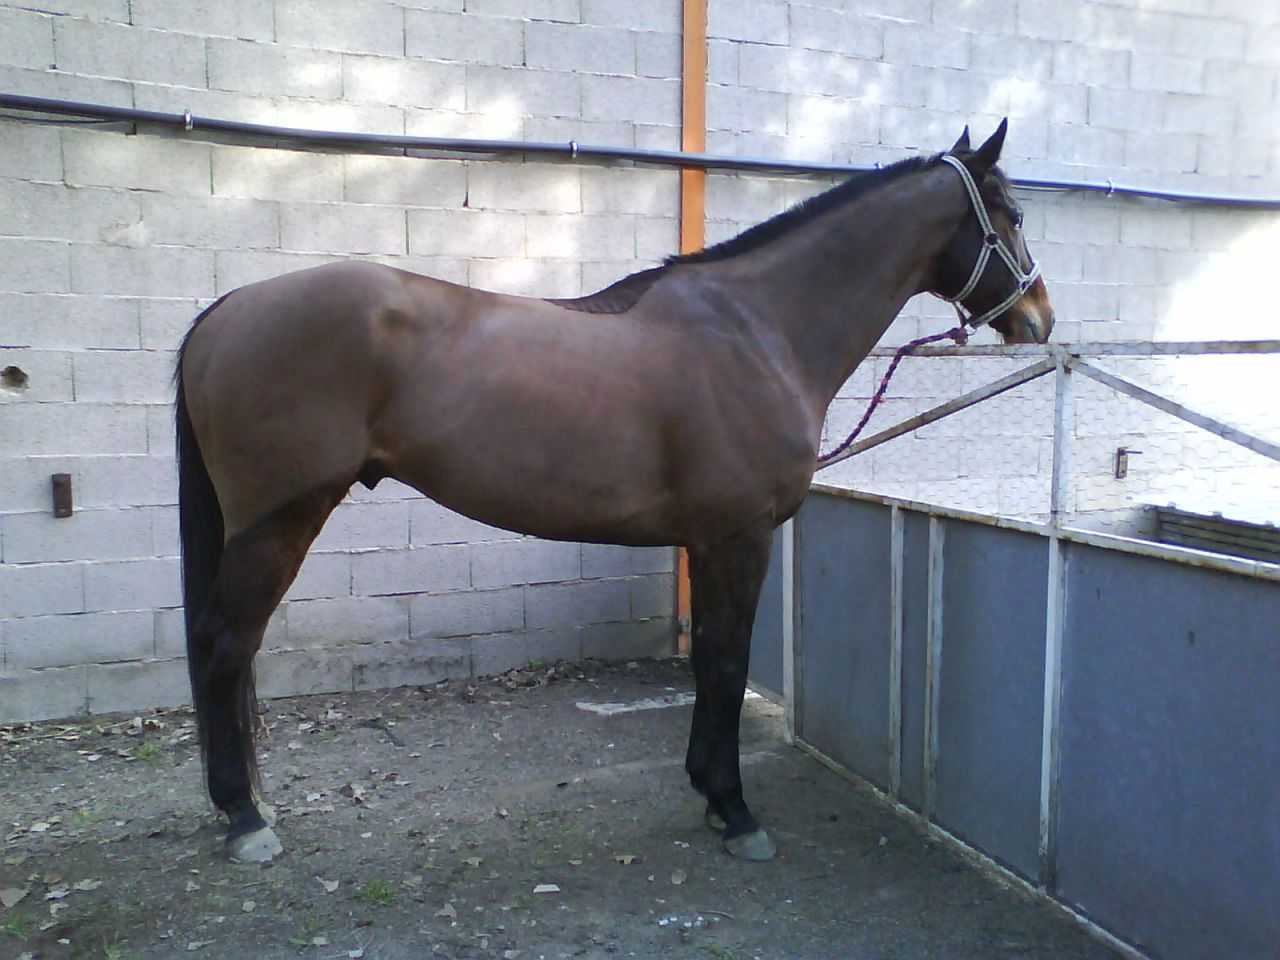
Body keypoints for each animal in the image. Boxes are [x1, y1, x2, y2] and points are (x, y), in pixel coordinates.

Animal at [175, 120, 1054, 864]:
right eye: (1009, 214)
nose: (1040, 320)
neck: (756, 328)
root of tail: (228, 307)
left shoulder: (706, 541)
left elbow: (708, 659)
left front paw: (707, 787)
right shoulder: (739, 536)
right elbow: (727, 660)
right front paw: (736, 810)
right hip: (275, 523)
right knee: (226, 645)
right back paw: (245, 819)